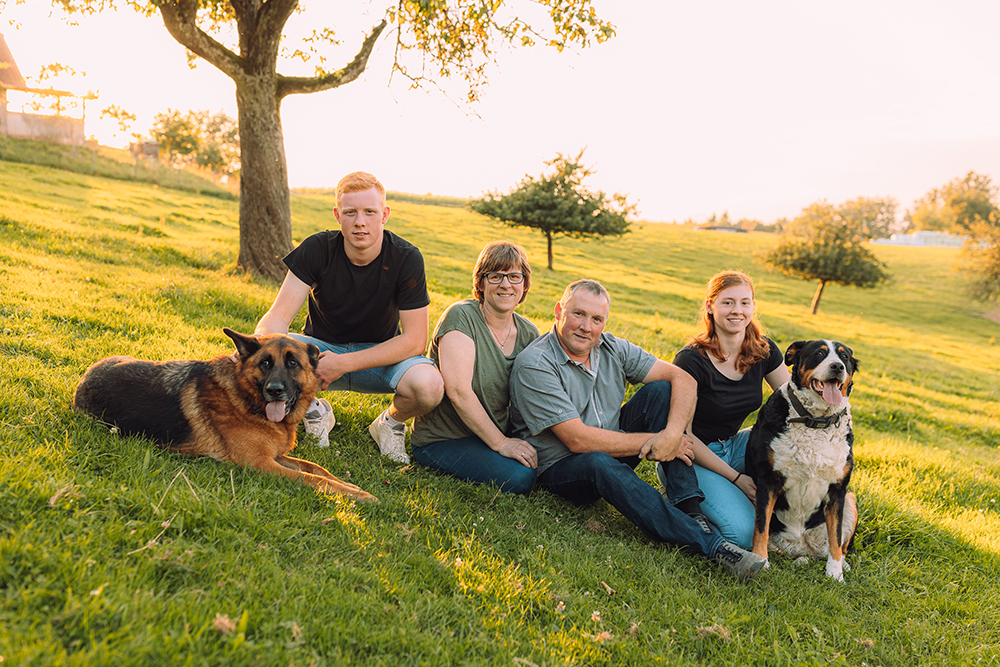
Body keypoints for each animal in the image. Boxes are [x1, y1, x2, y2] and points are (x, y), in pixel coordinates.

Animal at [72, 328, 377, 503]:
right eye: (265, 363)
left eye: (293, 363)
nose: (274, 391)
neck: (246, 400)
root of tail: (84, 378)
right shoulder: (260, 464)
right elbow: (314, 479)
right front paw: (358, 495)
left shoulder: (275, 456)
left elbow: (317, 468)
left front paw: (353, 487)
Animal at [746, 339, 859, 581]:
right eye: (819, 354)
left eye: (844, 357)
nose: (837, 367)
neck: (815, 422)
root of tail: (801, 546)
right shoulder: (768, 481)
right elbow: (761, 527)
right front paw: (761, 561)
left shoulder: (838, 490)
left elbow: (835, 537)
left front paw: (835, 573)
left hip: (850, 501)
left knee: (840, 544)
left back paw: (842, 564)